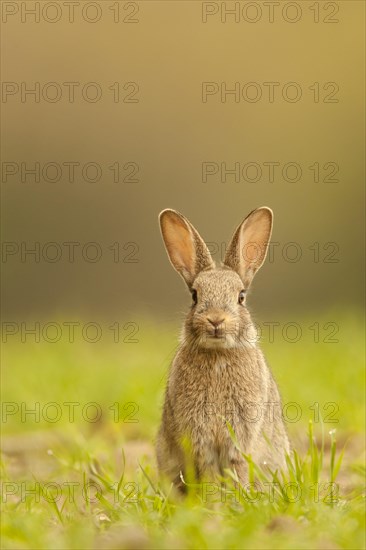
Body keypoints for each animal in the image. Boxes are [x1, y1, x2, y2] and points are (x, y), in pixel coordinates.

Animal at [156, 208, 290, 492]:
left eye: (241, 297)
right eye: (195, 296)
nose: (216, 320)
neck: (218, 355)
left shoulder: (241, 434)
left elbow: (238, 466)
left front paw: (238, 497)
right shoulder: (200, 438)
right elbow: (208, 470)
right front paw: (213, 499)